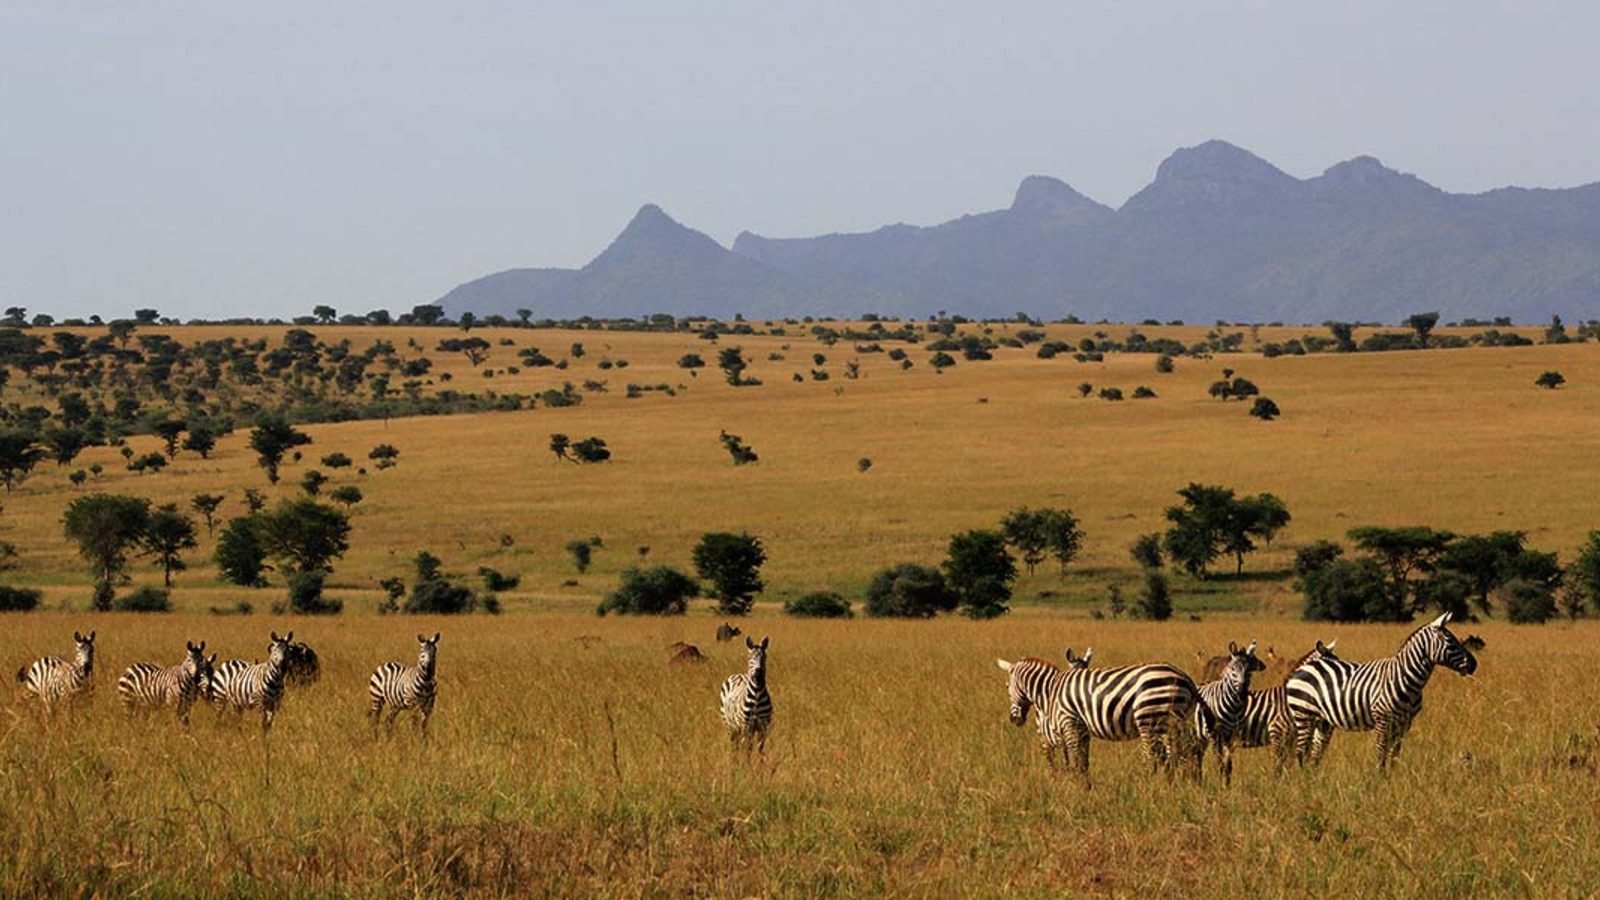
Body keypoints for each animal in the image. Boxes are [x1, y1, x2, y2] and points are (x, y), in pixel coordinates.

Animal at [996, 653, 1198, 783]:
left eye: (1006, 686)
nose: (1014, 720)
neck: (1049, 691)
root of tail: (1184, 677)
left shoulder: (1069, 723)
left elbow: (1076, 759)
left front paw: (1078, 787)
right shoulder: (1082, 730)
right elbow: (1083, 761)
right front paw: (1085, 788)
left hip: (1149, 719)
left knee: (1154, 757)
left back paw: (1148, 787)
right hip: (1176, 723)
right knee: (1182, 756)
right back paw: (1180, 786)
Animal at [1190, 640, 1266, 786]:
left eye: (1248, 670)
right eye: (1233, 669)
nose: (1242, 693)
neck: (1234, 707)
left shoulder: (1232, 737)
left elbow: (1229, 765)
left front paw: (1227, 785)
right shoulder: (1215, 736)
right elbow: (1219, 764)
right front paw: (1221, 785)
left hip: (1200, 737)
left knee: (1197, 757)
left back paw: (1198, 782)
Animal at [1287, 612, 1478, 771]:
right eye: (1450, 641)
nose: (1474, 664)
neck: (1405, 679)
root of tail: (1303, 667)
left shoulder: (1404, 723)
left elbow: (1394, 754)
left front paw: (1391, 778)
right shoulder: (1383, 721)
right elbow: (1381, 752)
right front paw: (1379, 779)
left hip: (1322, 721)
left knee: (1315, 752)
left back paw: (1314, 777)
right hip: (1304, 715)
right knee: (1301, 751)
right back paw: (1303, 780)